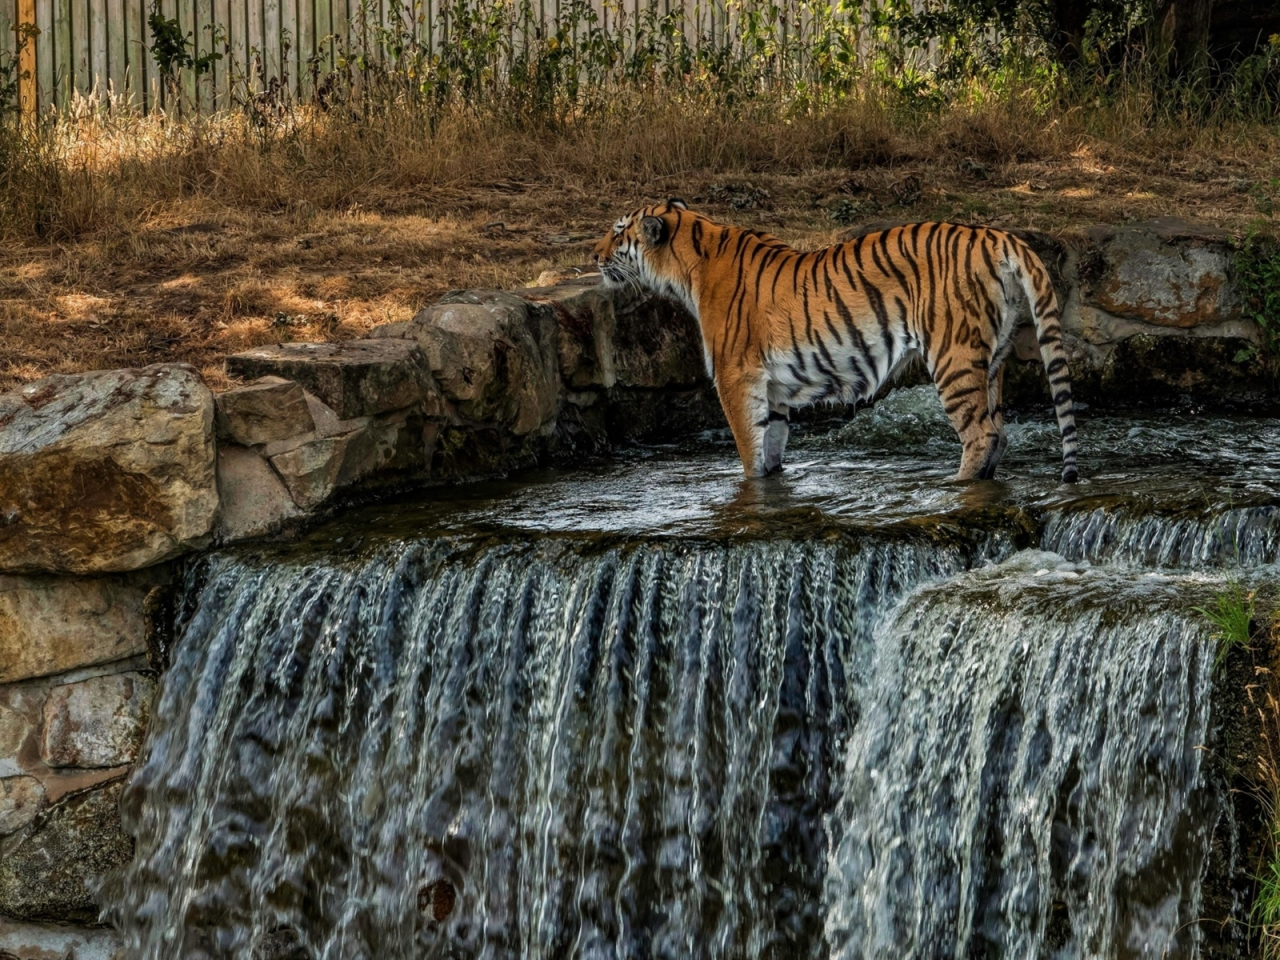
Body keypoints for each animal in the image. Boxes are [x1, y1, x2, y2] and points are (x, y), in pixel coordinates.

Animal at [593, 199, 1075, 483]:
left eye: (618, 231)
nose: (594, 256)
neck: (688, 261)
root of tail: (997, 235)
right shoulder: (773, 388)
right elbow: (771, 444)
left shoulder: (735, 376)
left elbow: (748, 449)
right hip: (993, 358)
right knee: (1001, 433)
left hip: (953, 356)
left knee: (982, 435)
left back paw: (956, 485)